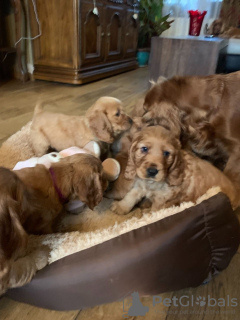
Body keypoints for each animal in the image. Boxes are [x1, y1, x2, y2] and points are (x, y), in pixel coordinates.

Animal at [110, 127, 238, 215]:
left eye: (166, 153)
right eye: (144, 149)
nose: (152, 171)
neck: (152, 183)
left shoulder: (161, 199)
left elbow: (155, 212)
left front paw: (147, 217)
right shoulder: (140, 185)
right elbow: (130, 196)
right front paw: (120, 207)